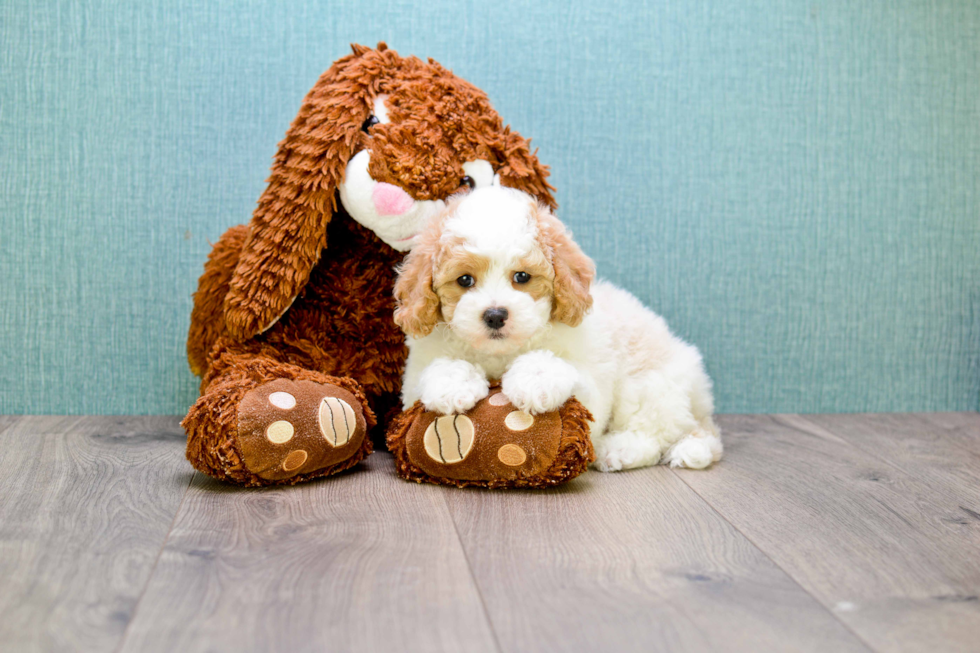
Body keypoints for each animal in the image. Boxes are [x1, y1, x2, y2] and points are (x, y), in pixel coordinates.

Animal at [394, 185, 724, 468]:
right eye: (464, 280)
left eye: (522, 277)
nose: (496, 315)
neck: (501, 353)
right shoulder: (413, 379)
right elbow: (436, 370)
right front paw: (452, 384)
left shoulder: (592, 384)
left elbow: (564, 371)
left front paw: (534, 380)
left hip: (650, 383)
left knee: (652, 433)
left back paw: (619, 449)